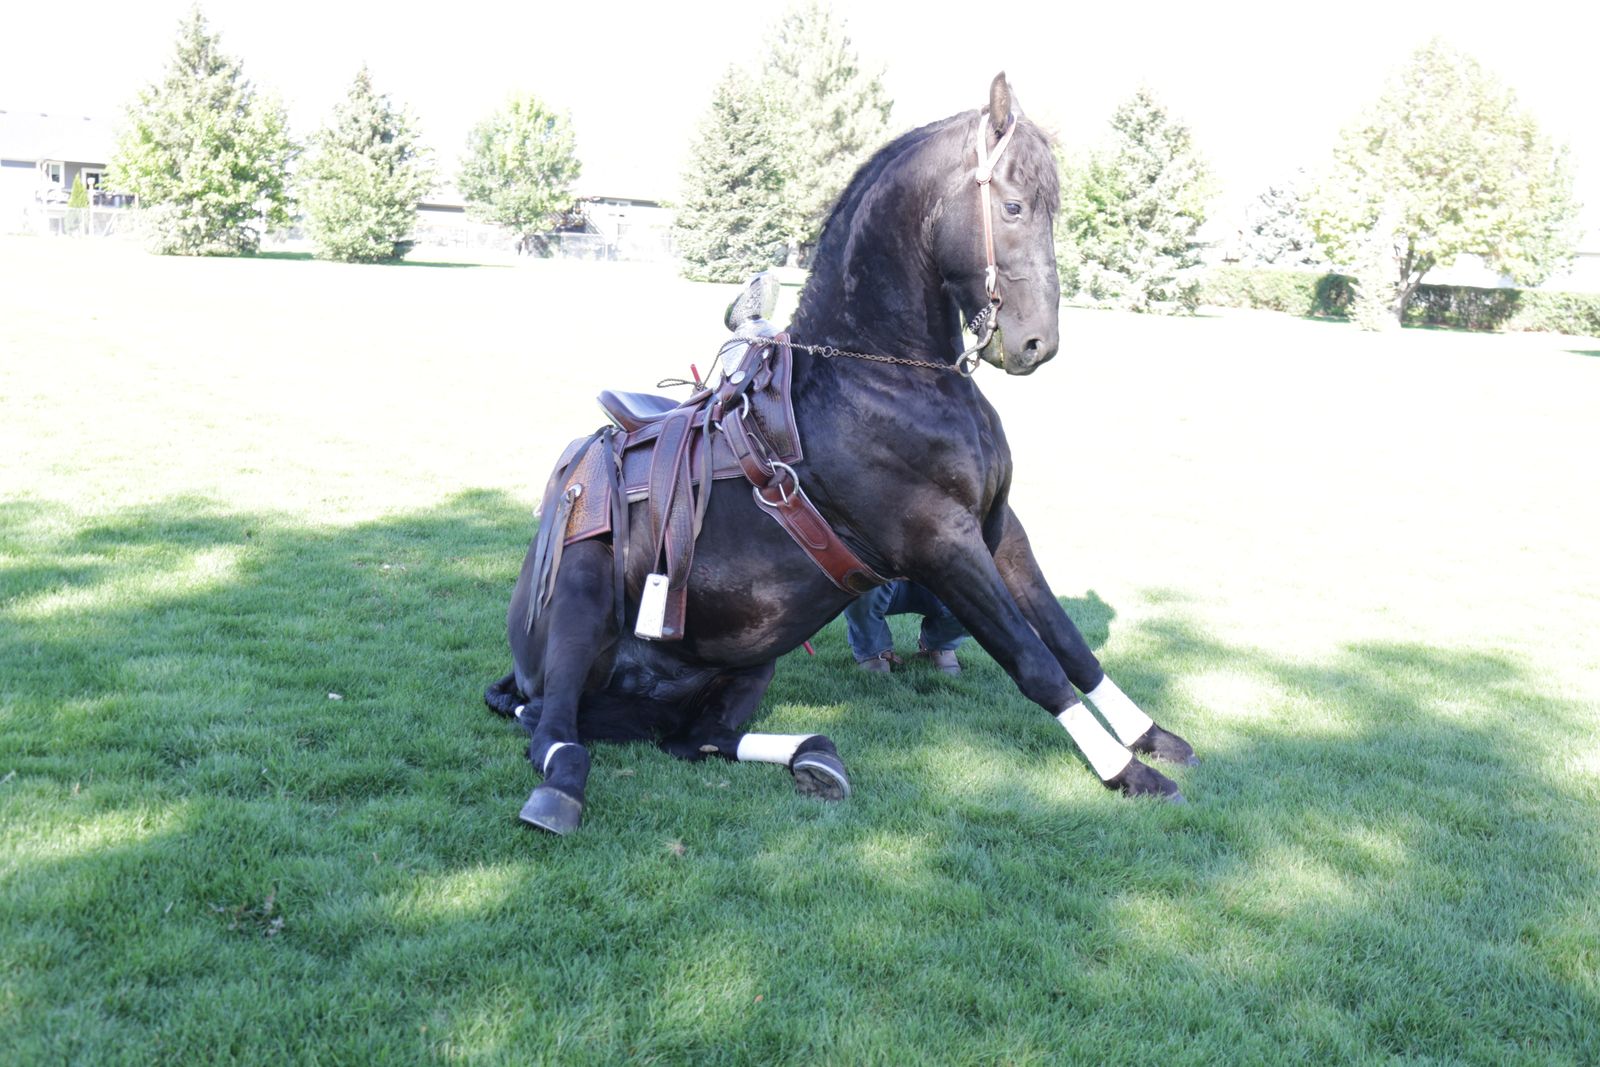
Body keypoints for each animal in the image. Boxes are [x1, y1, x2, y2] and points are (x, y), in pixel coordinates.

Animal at [486, 73, 1197, 834]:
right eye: (1013, 205)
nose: (1037, 343)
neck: (883, 378)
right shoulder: (943, 545)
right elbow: (1035, 661)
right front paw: (1127, 772)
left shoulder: (1000, 529)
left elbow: (1069, 642)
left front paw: (1152, 737)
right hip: (581, 609)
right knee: (550, 729)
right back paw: (561, 788)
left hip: (751, 656)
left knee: (694, 739)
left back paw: (814, 756)